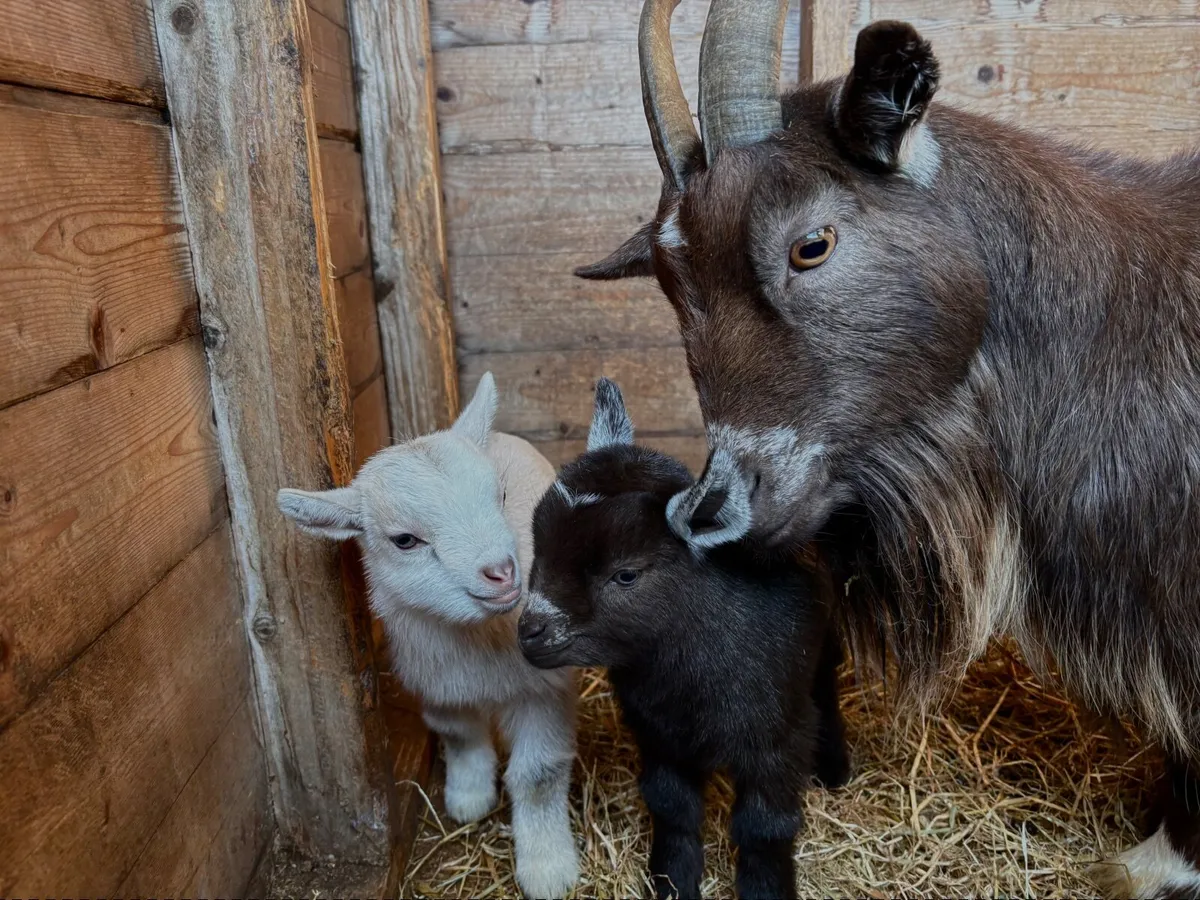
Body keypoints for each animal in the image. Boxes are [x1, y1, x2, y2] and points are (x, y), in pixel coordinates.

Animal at [276, 373, 579, 899]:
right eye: (404, 541)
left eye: (501, 497)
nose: (502, 571)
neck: (479, 646)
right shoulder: (437, 684)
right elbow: (458, 736)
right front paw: (468, 797)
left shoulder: (545, 692)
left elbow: (539, 776)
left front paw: (547, 869)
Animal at [518, 378, 849, 900]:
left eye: (626, 574)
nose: (530, 631)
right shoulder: (659, 734)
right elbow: (671, 806)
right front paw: (673, 878)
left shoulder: (777, 738)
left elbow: (766, 825)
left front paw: (766, 888)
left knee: (827, 686)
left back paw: (834, 766)